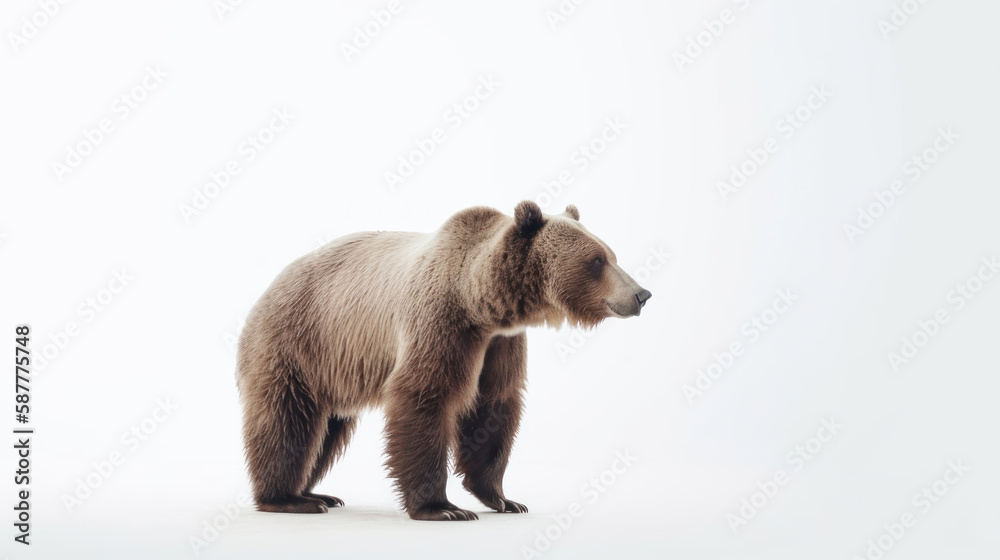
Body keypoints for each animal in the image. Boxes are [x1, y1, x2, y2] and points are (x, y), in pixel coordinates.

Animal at [236, 201, 651, 520]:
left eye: (611, 255)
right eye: (596, 260)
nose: (642, 294)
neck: (481, 303)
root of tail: (268, 287)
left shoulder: (500, 344)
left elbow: (493, 407)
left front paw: (504, 499)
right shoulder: (441, 323)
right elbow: (425, 397)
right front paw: (442, 507)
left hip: (334, 365)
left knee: (328, 429)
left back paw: (316, 494)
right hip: (297, 341)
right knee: (287, 420)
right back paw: (286, 498)